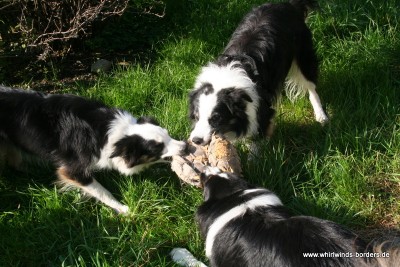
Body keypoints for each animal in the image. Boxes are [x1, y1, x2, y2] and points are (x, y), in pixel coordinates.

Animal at [190, 0, 328, 147]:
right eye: (196, 117)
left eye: (216, 118)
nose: (196, 140)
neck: (225, 80)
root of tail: (288, 4)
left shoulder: (263, 107)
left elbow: (257, 138)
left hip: (304, 56)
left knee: (311, 86)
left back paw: (321, 117)